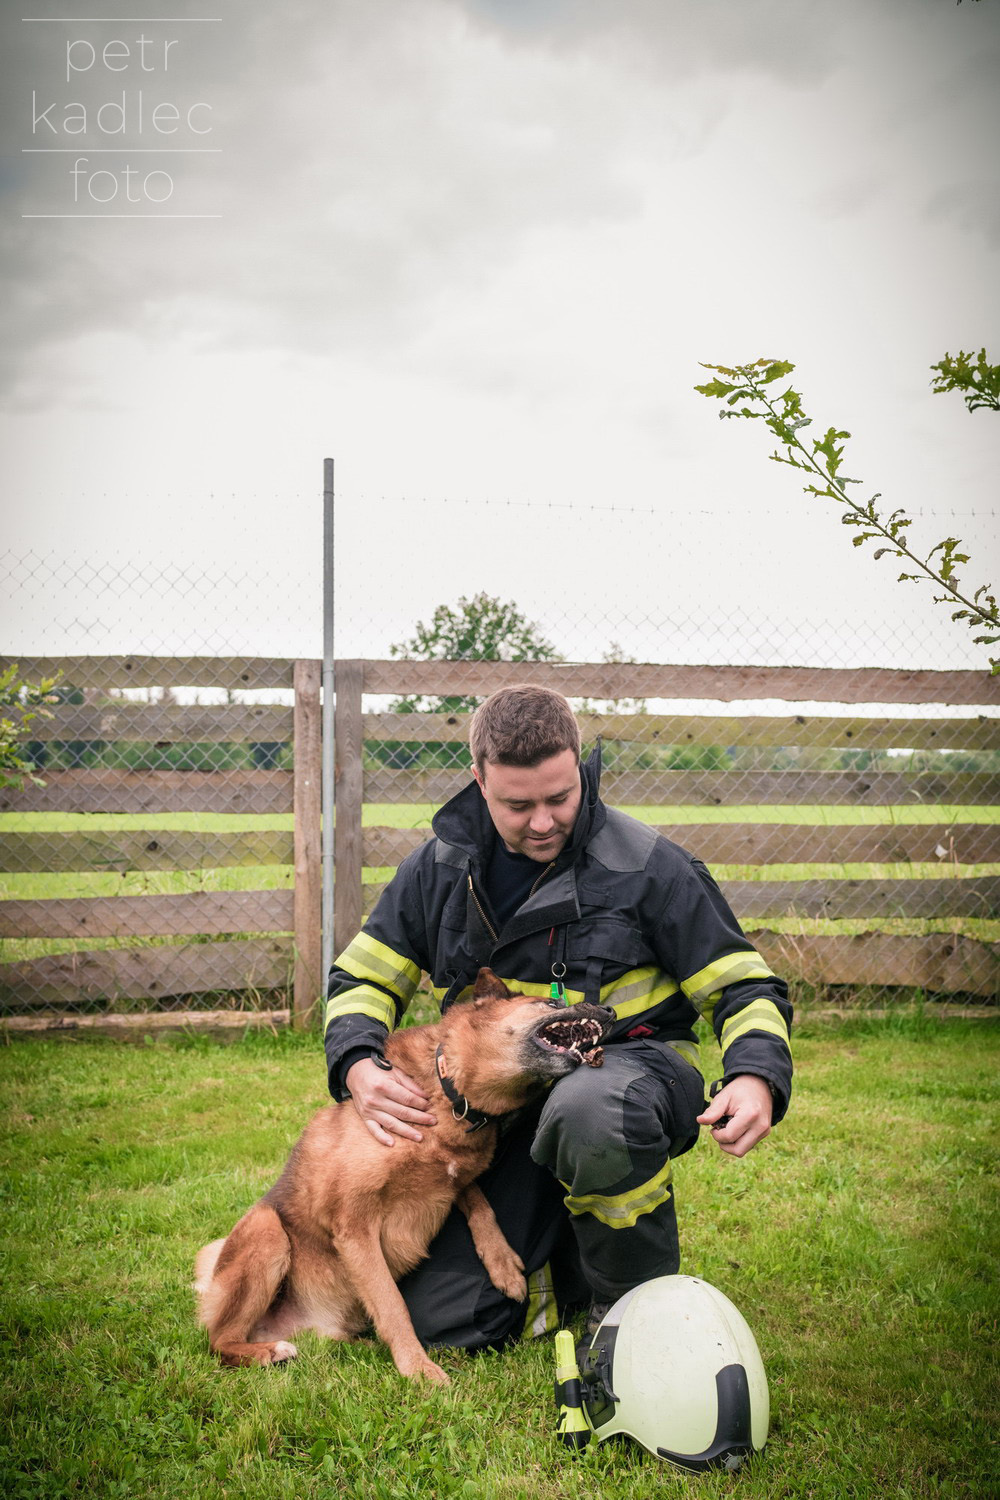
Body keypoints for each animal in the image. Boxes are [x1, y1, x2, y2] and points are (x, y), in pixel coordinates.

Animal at [194, 968, 613, 1384]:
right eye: (552, 1003)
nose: (609, 1010)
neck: (450, 1091)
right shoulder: (355, 1227)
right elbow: (393, 1304)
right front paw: (418, 1368)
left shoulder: (455, 1179)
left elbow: (480, 1203)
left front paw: (502, 1263)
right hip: (266, 1230)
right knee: (220, 1343)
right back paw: (267, 1352)